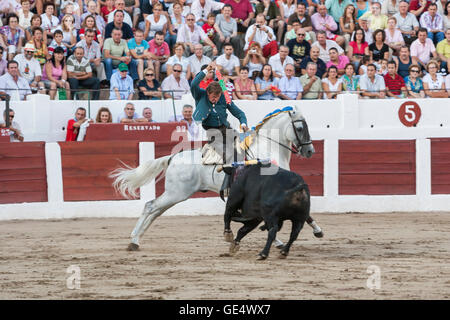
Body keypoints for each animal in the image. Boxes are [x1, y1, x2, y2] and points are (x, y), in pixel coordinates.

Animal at [112, 106, 324, 251]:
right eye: (300, 127)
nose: (310, 151)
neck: (268, 149)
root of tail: (173, 157)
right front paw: (314, 231)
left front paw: (315, 231)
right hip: (176, 193)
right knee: (150, 206)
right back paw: (134, 239)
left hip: (175, 195)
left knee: (155, 210)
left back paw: (135, 240)